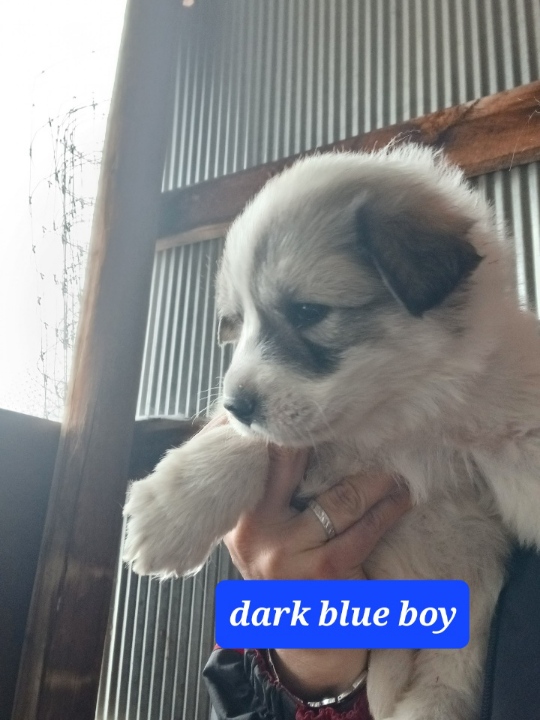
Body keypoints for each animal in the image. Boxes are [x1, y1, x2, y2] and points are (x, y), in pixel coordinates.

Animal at [123, 145, 540, 720]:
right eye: (239, 322)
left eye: (307, 311)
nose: (234, 404)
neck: (401, 412)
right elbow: (253, 442)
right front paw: (170, 514)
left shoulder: (503, 425)